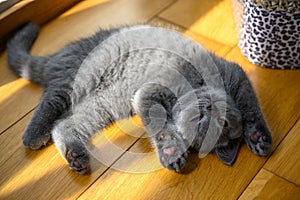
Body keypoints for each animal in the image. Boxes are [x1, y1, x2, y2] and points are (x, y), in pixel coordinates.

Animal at [7, 23, 270, 173]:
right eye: (218, 122)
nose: (207, 109)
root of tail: (58, 56)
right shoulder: (234, 74)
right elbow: (250, 106)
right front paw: (259, 137)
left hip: (102, 106)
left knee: (63, 124)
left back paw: (75, 156)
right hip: (78, 77)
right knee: (50, 99)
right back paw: (33, 135)